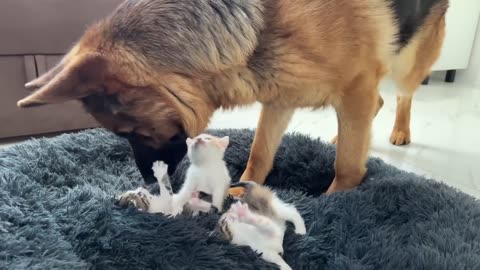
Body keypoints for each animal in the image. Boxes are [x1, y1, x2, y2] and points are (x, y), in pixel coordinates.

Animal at [17, 0, 446, 194]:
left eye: (129, 131)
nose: (150, 181)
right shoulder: (280, 98)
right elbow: (259, 154)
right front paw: (241, 189)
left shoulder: (355, 85)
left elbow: (348, 169)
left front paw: (335, 202)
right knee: (377, 105)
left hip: (407, 64)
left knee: (401, 96)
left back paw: (399, 131)